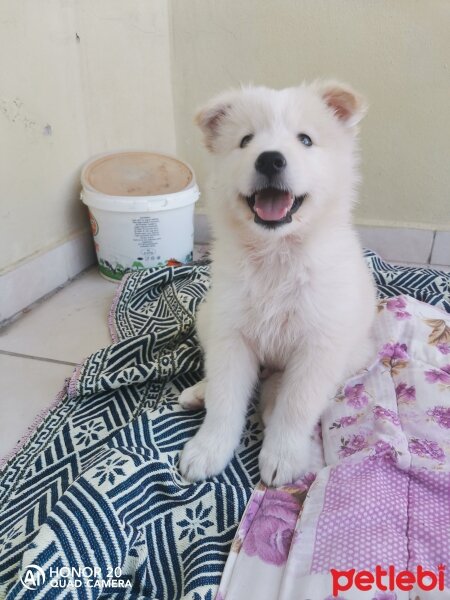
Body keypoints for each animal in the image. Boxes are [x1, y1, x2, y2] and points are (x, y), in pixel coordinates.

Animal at [179, 79, 376, 488]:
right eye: (245, 140)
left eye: (305, 140)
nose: (270, 159)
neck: (276, 255)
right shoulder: (230, 333)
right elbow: (225, 398)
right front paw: (208, 449)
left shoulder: (319, 345)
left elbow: (297, 403)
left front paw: (282, 456)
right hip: (207, 316)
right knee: (222, 377)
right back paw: (199, 392)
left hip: (354, 351)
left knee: (280, 386)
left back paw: (269, 404)